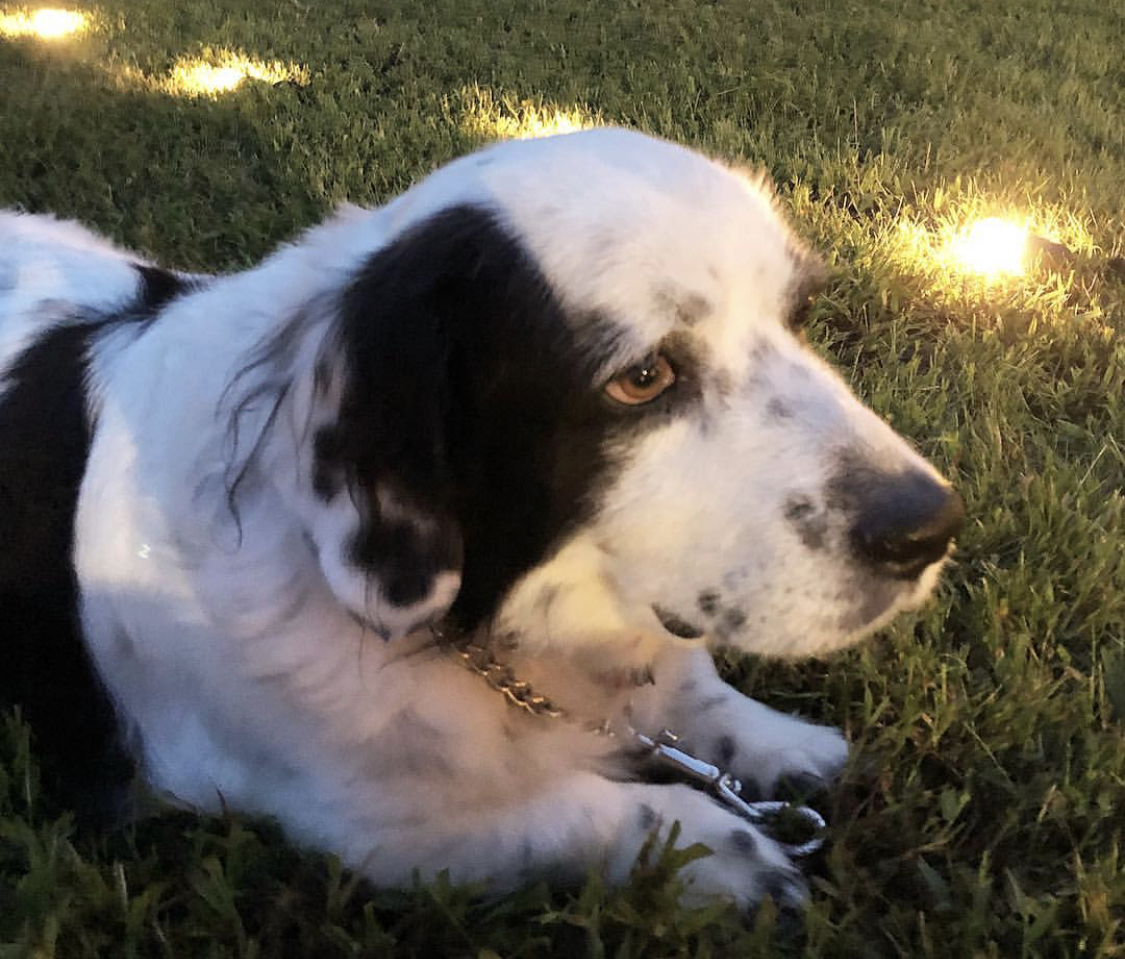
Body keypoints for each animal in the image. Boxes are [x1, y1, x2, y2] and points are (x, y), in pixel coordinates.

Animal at [2, 127, 958, 904]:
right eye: (642, 377)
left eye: (798, 318)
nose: (929, 528)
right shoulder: (366, 821)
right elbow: (583, 809)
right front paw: (718, 848)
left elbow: (697, 693)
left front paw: (784, 744)